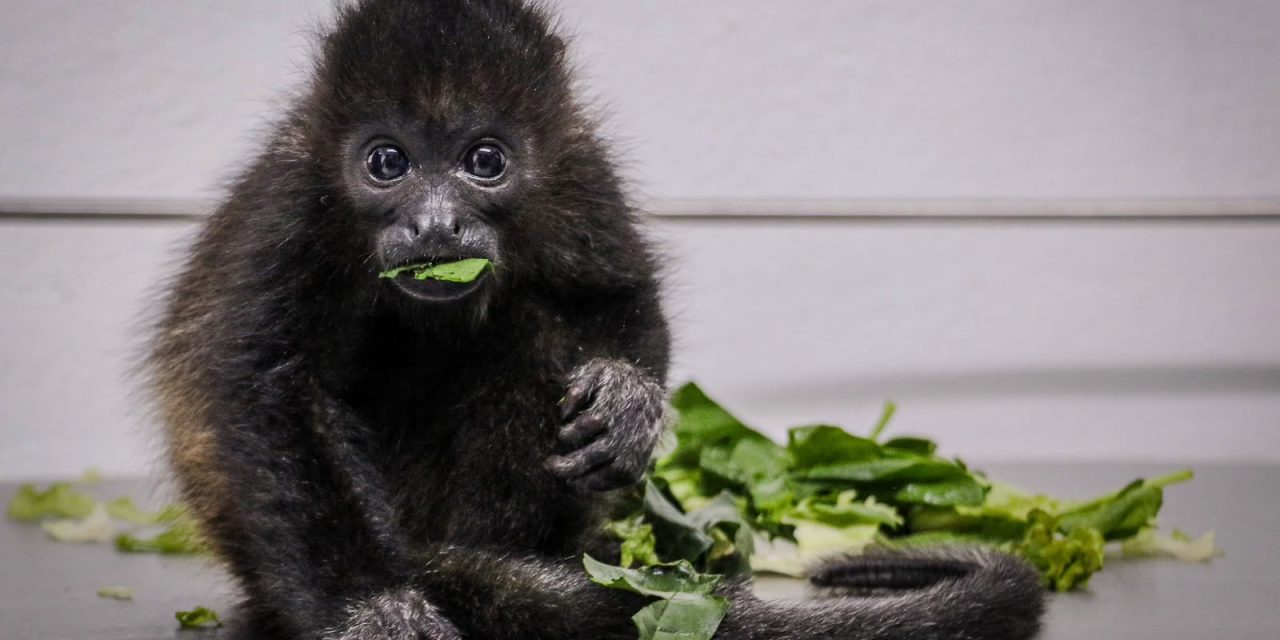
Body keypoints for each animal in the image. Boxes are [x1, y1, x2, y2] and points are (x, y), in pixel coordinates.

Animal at [146, 1, 1045, 639]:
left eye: (484, 160)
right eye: (386, 162)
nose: (436, 225)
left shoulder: (581, 171)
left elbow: (613, 297)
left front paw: (626, 402)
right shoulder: (288, 209)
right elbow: (266, 391)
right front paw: (368, 607)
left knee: (534, 328)